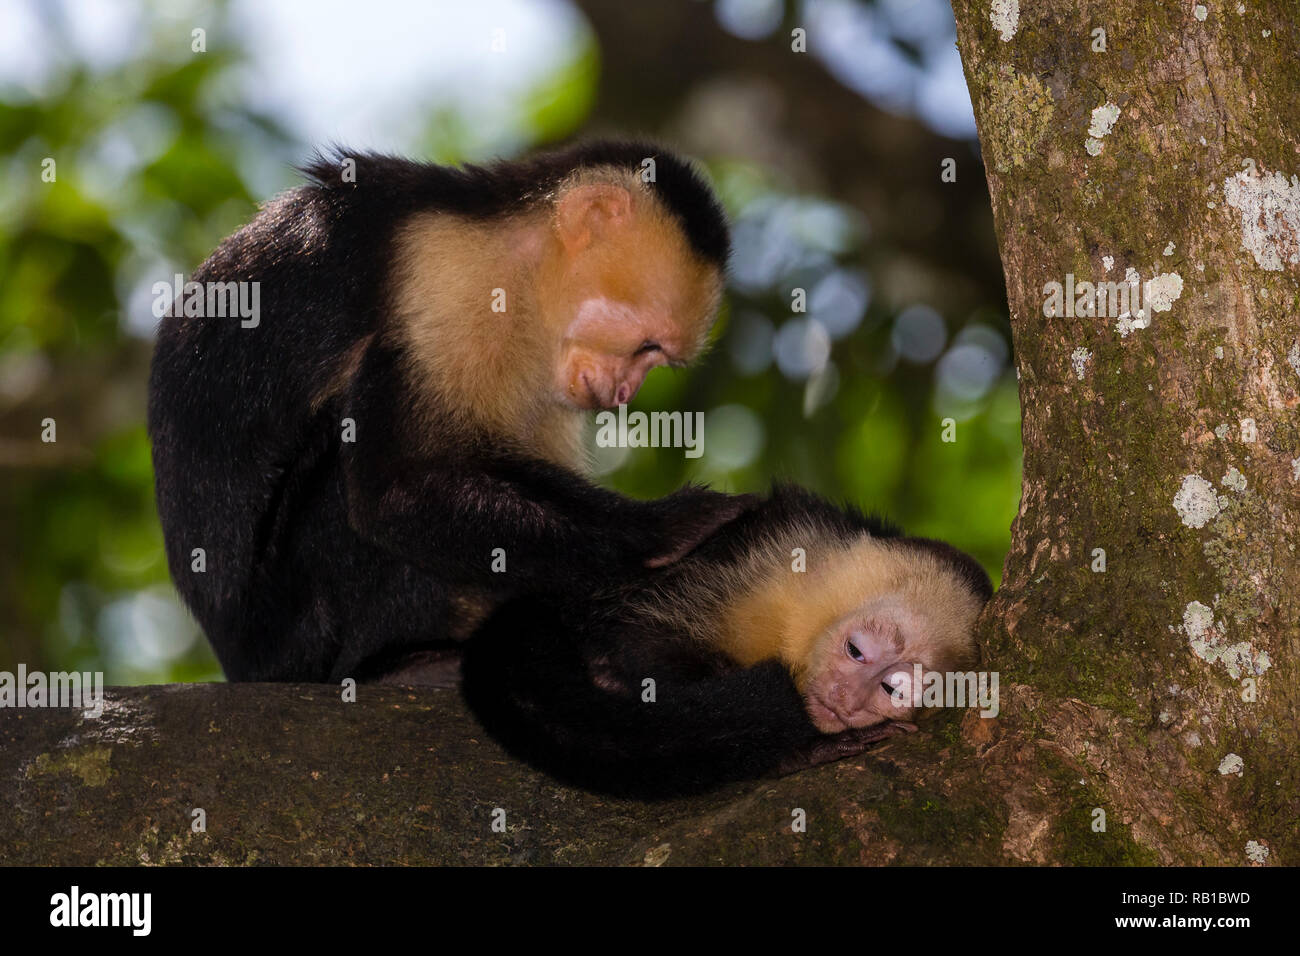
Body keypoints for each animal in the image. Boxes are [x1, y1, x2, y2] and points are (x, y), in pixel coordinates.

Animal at [146, 138, 748, 686]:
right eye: (647, 346)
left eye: (657, 358)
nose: (624, 391)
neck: (523, 274)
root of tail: (241, 663)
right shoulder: (449, 279)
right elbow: (393, 491)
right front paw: (660, 532)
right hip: (294, 634)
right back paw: (391, 664)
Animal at [462, 486, 987, 801]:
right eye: (855, 651)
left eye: (892, 689)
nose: (846, 700)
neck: (798, 620)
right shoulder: (774, 556)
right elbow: (640, 636)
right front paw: (800, 746)